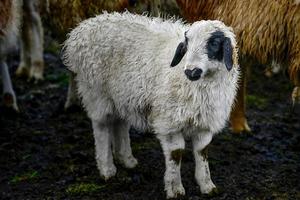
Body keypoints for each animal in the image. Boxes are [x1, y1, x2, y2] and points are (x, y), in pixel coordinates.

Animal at [62, 12, 240, 198]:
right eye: (187, 43)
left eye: (214, 43)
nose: (191, 71)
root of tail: (81, 30)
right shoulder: (170, 122)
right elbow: (176, 154)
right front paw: (175, 189)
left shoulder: (204, 122)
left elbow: (202, 152)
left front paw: (207, 186)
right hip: (96, 91)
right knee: (101, 127)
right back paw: (107, 169)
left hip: (121, 95)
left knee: (120, 123)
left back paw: (127, 159)